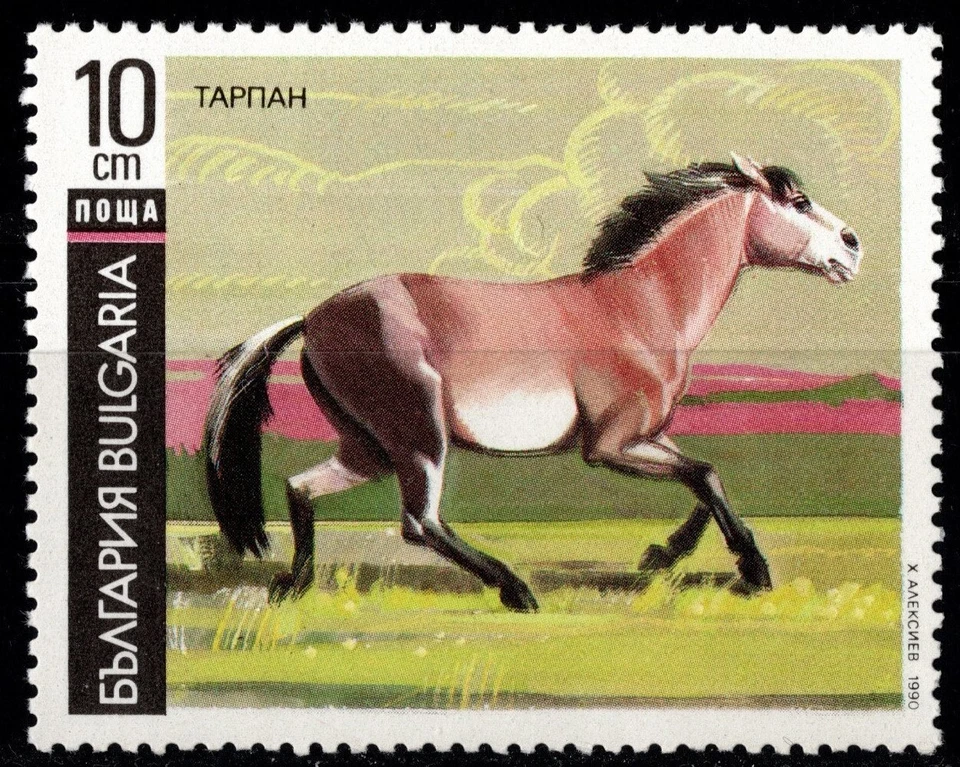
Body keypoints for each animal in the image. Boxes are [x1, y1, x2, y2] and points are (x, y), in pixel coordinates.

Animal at [203, 153, 862, 613]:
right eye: (800, 200)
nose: (853, 247)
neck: (640, 305)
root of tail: (312, 317)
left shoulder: (646, 435)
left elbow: (706, 478)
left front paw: (660, 555)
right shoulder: (610, 445)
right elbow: (703, 475)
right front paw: (755, 572)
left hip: (369, 446)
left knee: (302, 488)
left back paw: (294, 585)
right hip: (419, 435)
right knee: (420, 522)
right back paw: (515, 590)